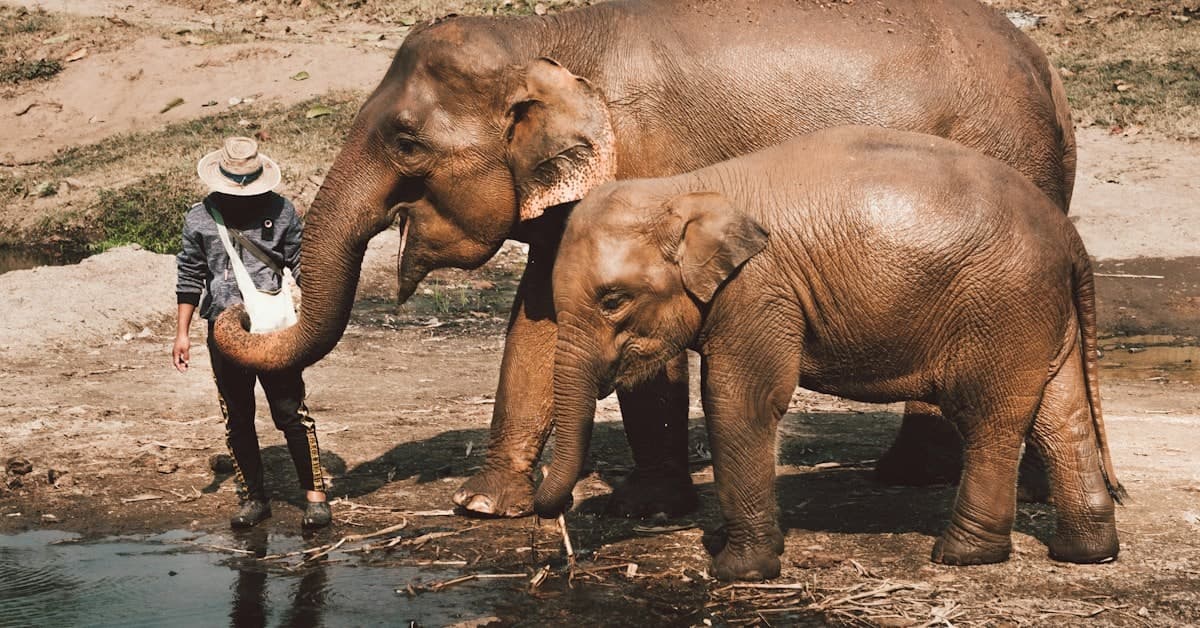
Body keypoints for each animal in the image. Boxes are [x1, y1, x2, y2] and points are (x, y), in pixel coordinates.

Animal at [213, 0, 1077, 519]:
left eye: (405, 141)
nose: (233, 309)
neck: (545, 40)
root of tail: (1049, 70)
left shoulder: (651, 162)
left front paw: (645, 508)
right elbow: (537, 322)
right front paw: (484, 507)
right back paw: (917, 476)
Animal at [533, 126, 1124, 581]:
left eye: (613, 300)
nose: (556, 522)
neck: (686, 190)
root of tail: (1070, 236)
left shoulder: (759, 290)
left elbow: (741, 402)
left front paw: (738, 571)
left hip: (1002, 306)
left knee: (989, 419)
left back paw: (962, 555)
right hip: (1038, 311)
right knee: (1060, 414)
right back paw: (1087, 553)